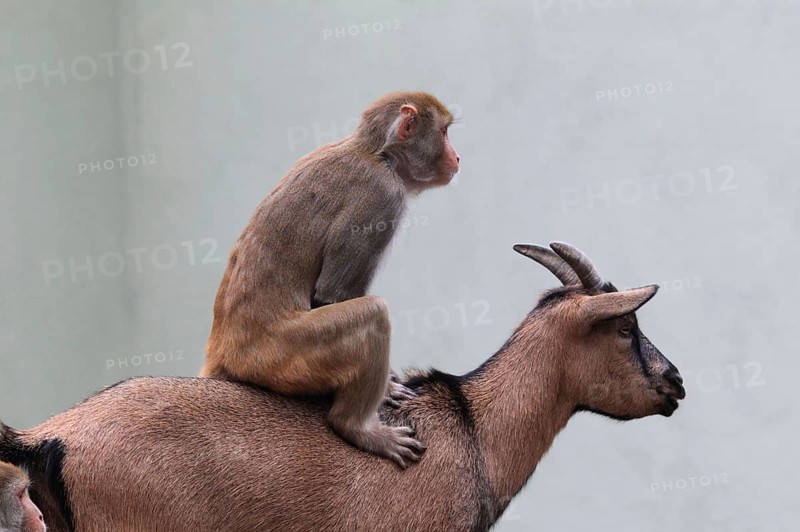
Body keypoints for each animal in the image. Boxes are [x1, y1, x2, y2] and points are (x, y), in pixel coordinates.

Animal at [200, 91, 460, 468]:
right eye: (443, 133)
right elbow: (333, 293)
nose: (457, 156)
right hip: (285, 359)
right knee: (373, 313)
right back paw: (355, 427)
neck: (373, 153)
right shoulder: (382, 196)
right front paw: (386, 389)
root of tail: (225, 353)